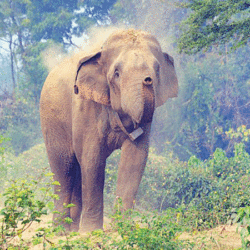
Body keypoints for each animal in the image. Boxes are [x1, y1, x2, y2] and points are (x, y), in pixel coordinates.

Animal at [39, 28, 178, 232]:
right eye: (117, 74)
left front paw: (123, 228)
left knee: (76, 170)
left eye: (157, 69)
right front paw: (91, 232)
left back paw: (72, 230)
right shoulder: (87, 108)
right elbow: (93, 159)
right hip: (51, 119)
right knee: (64, 168)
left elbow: (134, 159)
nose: (147, 80)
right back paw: (60, 232)